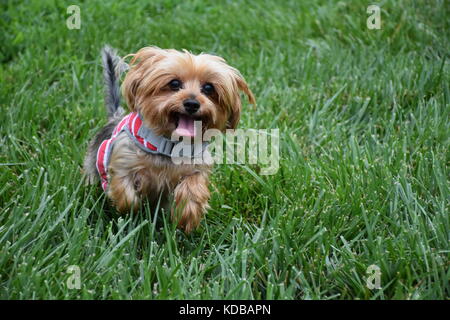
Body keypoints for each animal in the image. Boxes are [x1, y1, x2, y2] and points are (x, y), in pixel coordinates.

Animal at [82, 45, 255, 232]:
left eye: (209, 88)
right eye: (174, 84)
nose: (192, 103)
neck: (169, 145)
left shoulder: (197, 167)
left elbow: (193, 187)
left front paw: (187, 214)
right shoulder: (123, 162)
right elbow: (125, 194)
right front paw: (130, 211)